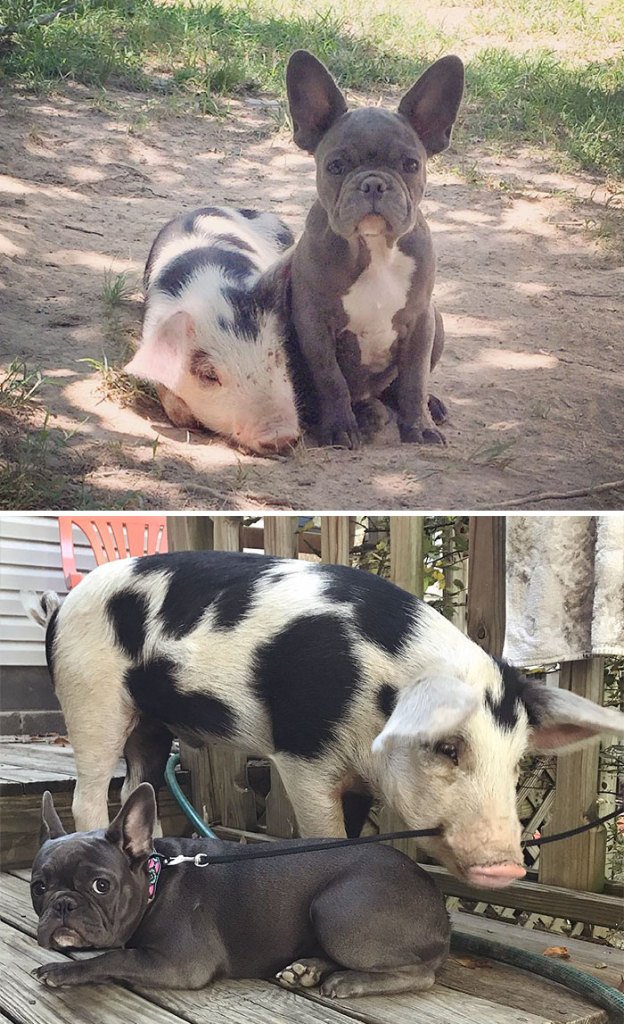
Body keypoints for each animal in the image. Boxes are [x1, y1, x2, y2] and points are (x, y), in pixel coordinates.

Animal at [24, 552, 622, 888]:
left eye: (517, 761)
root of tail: (61, 605)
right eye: (447, 747)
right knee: (88, 792)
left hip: (150, 723)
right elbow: (325, 833)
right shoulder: (301, 753)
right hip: (90, 697)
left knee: (137, 786)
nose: (509, 867)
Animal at [30, 782, 446, 991]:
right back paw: (306, 969)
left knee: (421, 974)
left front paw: (61, 971)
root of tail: (436, 901)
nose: (63, 904)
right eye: (39, 887)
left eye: (101, 885)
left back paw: (348, 981)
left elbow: (117, 958)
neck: (155, 880)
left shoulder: (182, 963)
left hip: (336, 910)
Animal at [286, 49, 463, 446]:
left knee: (399, 389)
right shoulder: (315, 322)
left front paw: (420, 426)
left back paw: (431, 406)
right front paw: (340, 428)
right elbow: (331, 379)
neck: (376, 249)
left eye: (411, 164)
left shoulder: (421, 320)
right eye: (336, 166)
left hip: (439, 321)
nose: (373, 184)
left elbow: (414, 379)